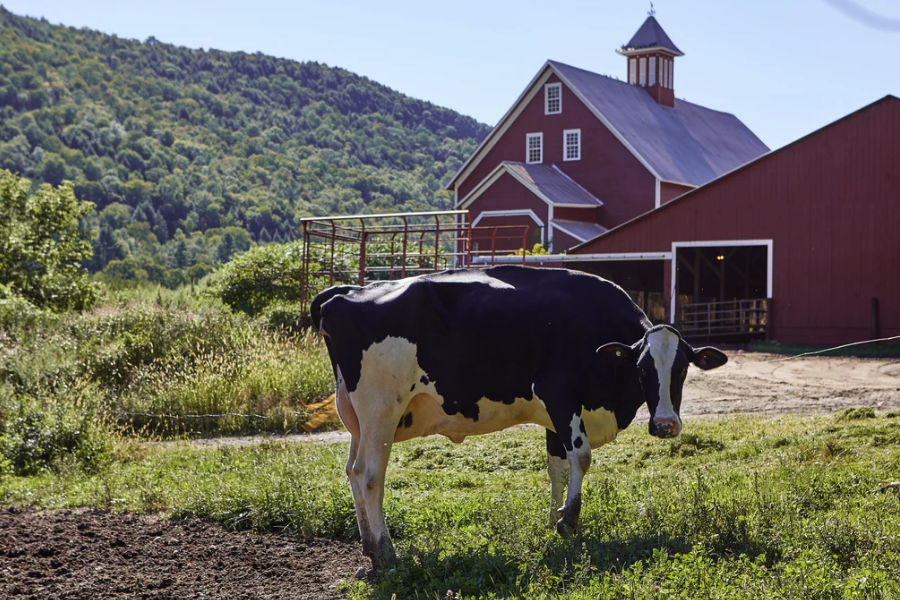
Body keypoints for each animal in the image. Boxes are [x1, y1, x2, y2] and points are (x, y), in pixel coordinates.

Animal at [312, 266, 728, 568]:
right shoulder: (559, 392)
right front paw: (569, 521)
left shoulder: (554, 419)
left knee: (352, 471)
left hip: (357, 417)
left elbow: (557, 467)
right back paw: (385, 551)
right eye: (643, 368)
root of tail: (346, 291)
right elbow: (581, 457)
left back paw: (368, 543)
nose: (665, 425)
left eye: (683, 369)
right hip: (381, 407)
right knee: (370, 474)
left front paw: (553, 518)